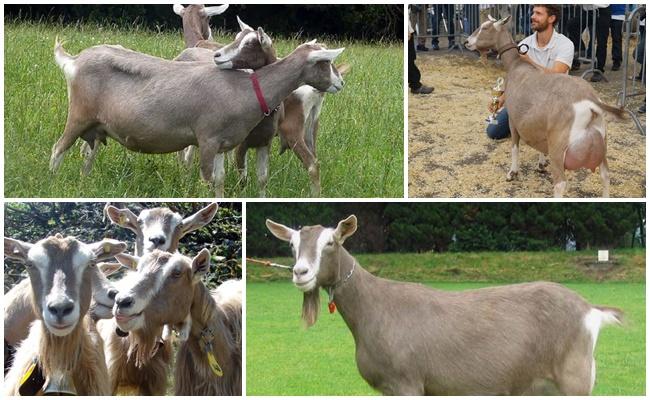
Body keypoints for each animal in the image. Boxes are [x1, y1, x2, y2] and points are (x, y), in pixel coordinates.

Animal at [50, 36, 344, 196]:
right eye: (325, 62)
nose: (340, 83)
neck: (248, 88)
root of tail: (73, 61)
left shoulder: (223, 144)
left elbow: (220, 180)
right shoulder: (208, 139)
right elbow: (206, 181)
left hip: (96, 126)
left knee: (88, 155)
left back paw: (84, 184)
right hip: (78, 114)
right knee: (58, 148)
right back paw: (51, 180)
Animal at [268, 216, 624, 394]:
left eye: (331, 242)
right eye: (292, 245)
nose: (300, 273)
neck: (374, 309)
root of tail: (591, 311)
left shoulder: (407, 381)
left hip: (574, 379)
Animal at [464, 16, 620, 198]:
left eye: (485, 28)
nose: (467, 42)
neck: (516, 65)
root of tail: (590, 103)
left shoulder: (513, 119)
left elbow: (514, 146)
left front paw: (512, 172)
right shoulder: (540, 128)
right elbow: (539, 144)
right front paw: (540, 163)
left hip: (559, 146)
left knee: (560, 184)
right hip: (601, 143)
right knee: (605, 175)